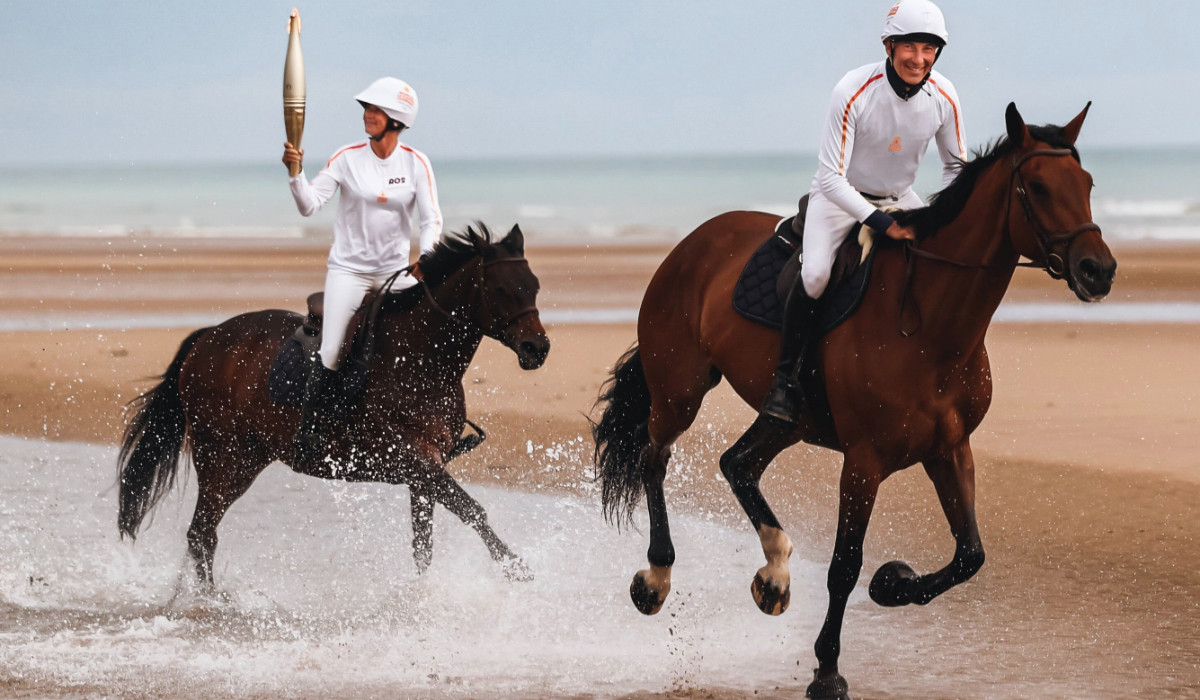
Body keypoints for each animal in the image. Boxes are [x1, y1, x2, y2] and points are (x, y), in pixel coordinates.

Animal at [117, 226, 549, 588]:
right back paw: (216, 605)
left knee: (203, 533)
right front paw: (517, 567)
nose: (538, 349)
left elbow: (423, 545)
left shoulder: (426, 470)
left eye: (534, 286)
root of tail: (208, 339)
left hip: (247, 461)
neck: (419, 362)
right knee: (201, 532)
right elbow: (473, 510)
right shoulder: (413, 461)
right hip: (219, 457)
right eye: (500, 289)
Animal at [590, 103, 1113, 700]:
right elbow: (844, 565)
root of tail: (694, 242)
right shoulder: (864, 462)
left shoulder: (949, 449)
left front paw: (893, 583)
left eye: (1087, 184)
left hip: (787, 419)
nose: (1099, 270)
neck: (929, 327)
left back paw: (775, 574)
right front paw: (827, 670)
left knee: (737, 463)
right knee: (655, 460)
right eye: (1039, 186)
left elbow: (970, 555)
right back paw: (656, 579)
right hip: (680, 392)